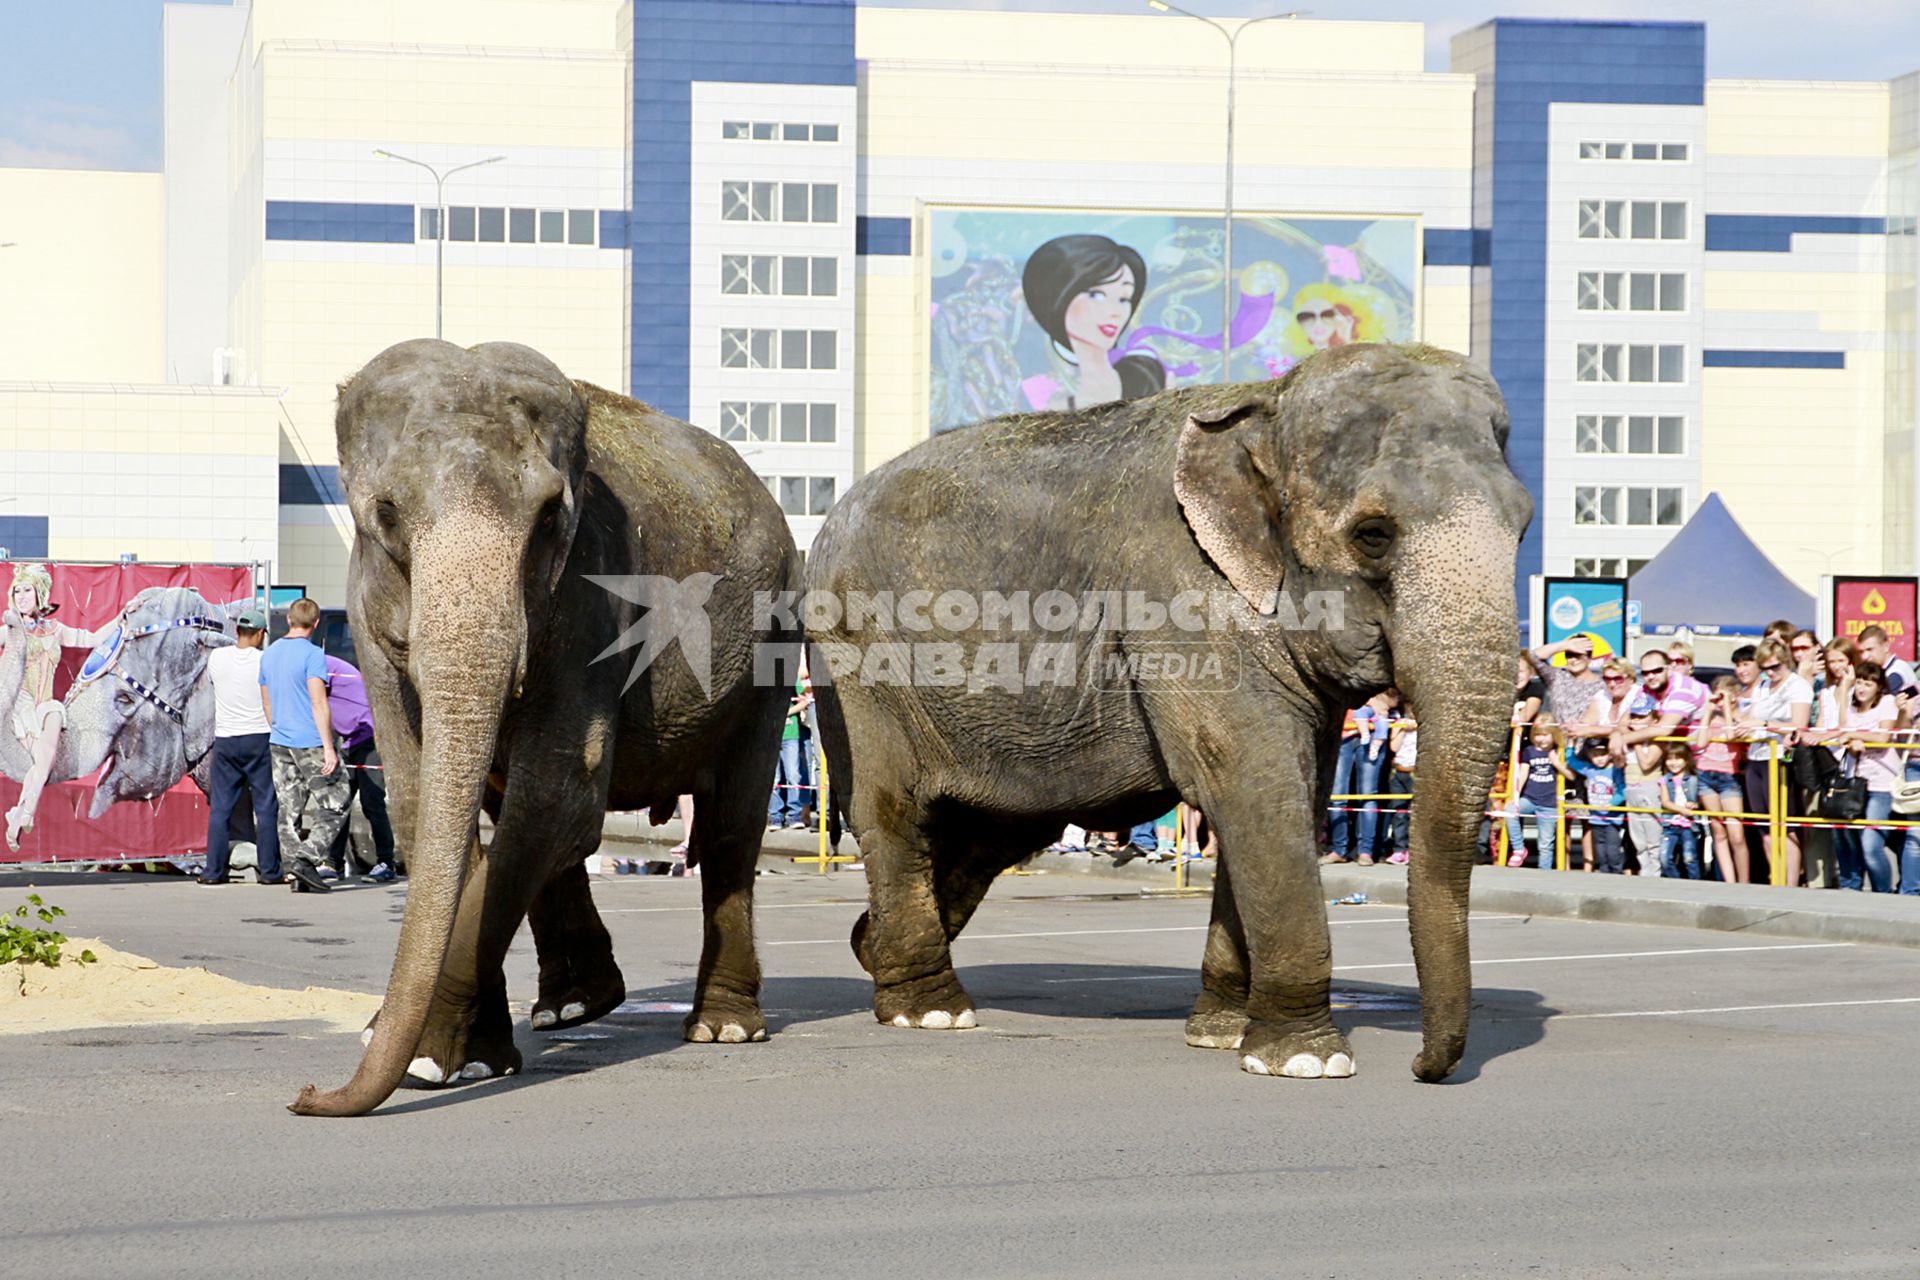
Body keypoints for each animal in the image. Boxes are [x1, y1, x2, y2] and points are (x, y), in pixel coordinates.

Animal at [289, 339, 794, 1120]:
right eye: (387, 512)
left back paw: (723, 1027)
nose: (308, 1095)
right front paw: (469, 1058)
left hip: (773, 649)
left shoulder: (595, 597)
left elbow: (559, 794)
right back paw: (577, 1006)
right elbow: (426, 802)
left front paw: (429, 1061)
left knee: (731, 824)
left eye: (552, 517)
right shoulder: (367, 620)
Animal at [806, 339, 1528, 1082]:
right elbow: (1251, 784)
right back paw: (930, 1010)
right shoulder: (1178, 595)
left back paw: (871, 948)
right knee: (895, 811)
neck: (1270, 401)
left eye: (1525, 525)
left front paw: (1221, 1033)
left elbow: (1292, 789)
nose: (1423, 1067)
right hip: (859, 663)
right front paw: (1307, 1059)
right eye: (1373, 534)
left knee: (992, 830)